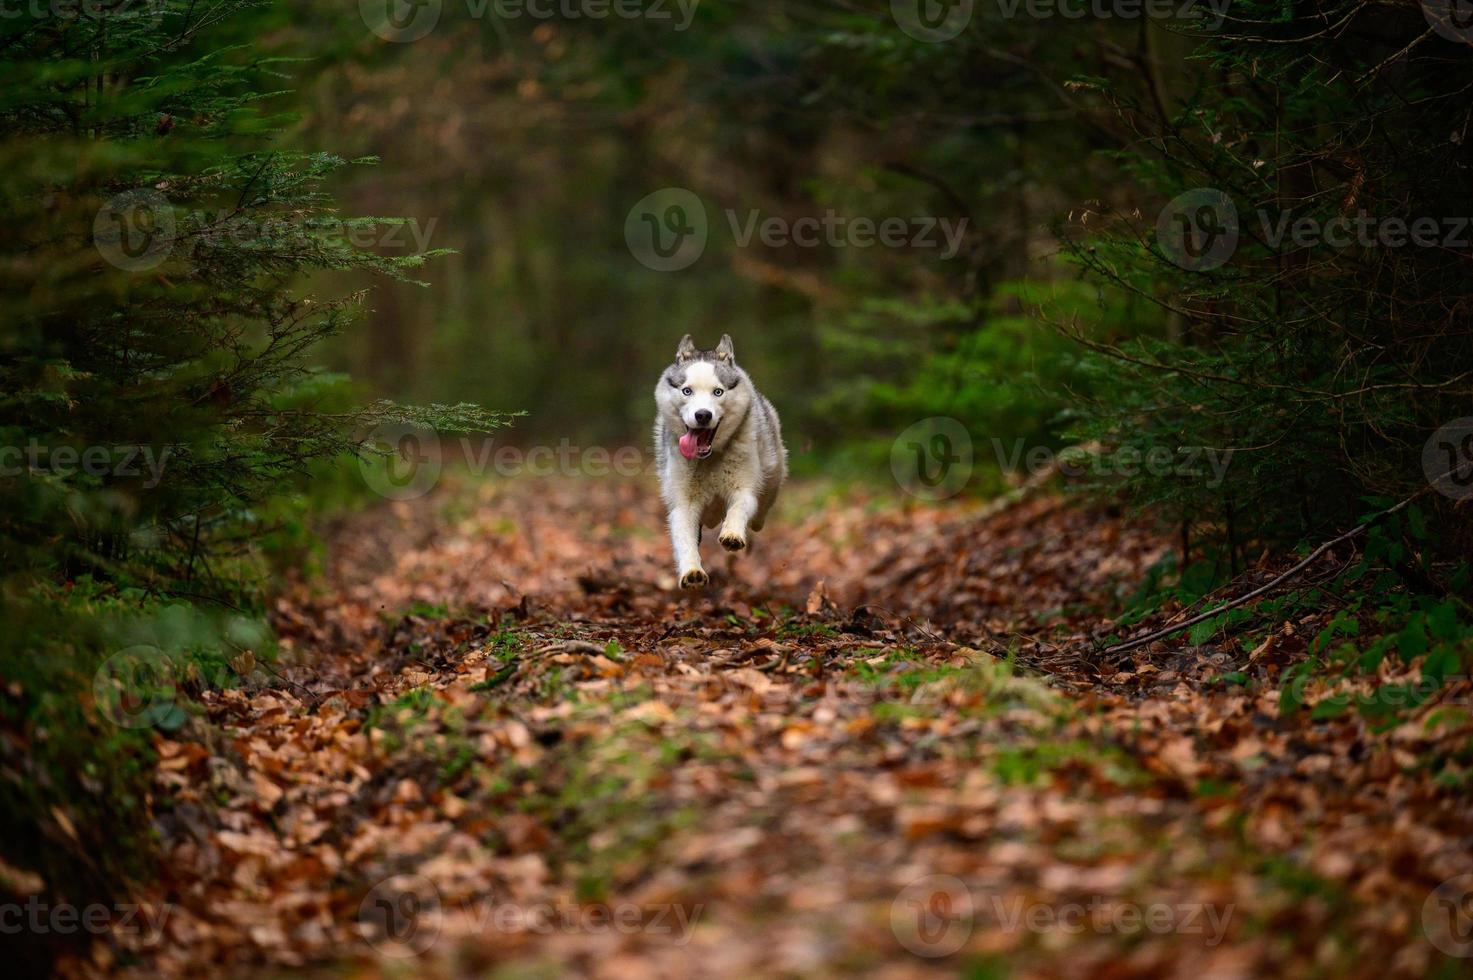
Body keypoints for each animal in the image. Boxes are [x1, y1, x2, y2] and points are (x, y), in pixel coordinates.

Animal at [656, 334, 789, 589]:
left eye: (718, 392)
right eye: (687, 391)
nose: (702, 415)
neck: (709, 459)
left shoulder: (743, 488)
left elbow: (740, 506)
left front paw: (732, 535)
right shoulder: (683, 501)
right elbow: (684, 536)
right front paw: (692, 571)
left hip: (772, 471)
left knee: (762, 506)